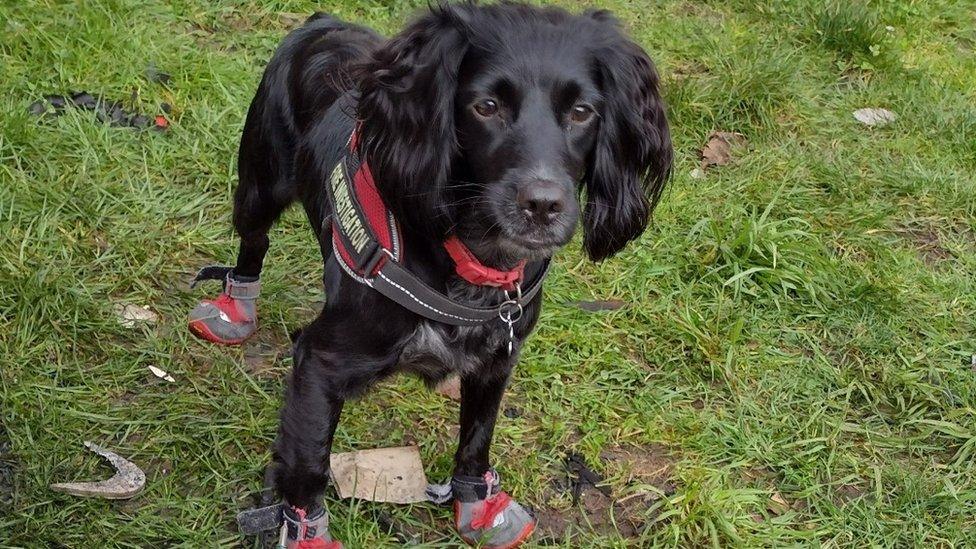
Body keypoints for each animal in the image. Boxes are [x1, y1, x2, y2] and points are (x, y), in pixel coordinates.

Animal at [187, 3, 668, 544]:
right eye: (485, 106)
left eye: (582, 112)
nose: (543, 205)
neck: (474, 263)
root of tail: (322, 21)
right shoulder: (320, 364)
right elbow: (308, 465)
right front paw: (307, 530)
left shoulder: (497, 357)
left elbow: (477, 437)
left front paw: (478, 506)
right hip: (260, 182)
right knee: (254, 242)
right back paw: (234, 309)